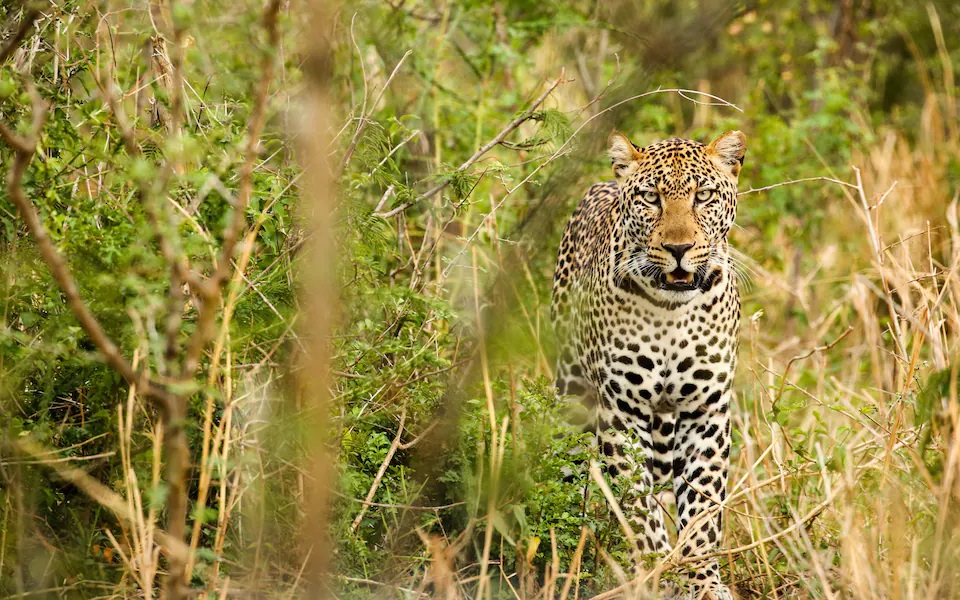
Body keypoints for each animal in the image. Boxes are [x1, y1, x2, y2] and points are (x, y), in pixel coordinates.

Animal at [551, 130, 746, 599]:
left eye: (703, 196)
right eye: (651, 198)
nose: (679, 248)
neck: (671, 312)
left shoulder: (705, 412)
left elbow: (702, 507)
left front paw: (700, 579)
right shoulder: (622, 411)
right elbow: (636, 505)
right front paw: (657, 571)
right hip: (571, 396)